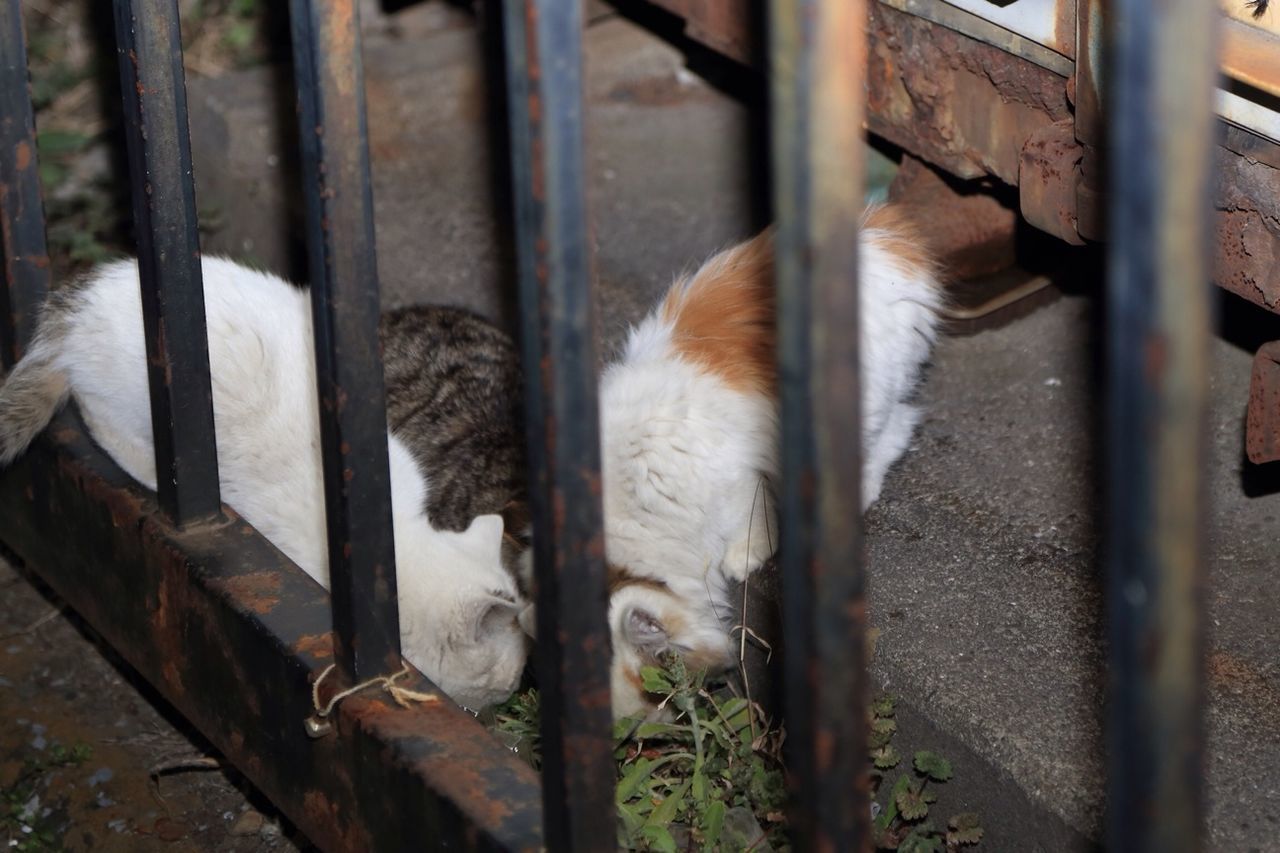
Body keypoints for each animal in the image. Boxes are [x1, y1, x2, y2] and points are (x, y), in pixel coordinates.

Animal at [596, 206, 942, 717]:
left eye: (661, 698)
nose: (676, 727)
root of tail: (880, 231)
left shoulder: (734, 477)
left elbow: (749, 519)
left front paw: (746, 558)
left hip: (862, 401)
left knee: (897, 429)